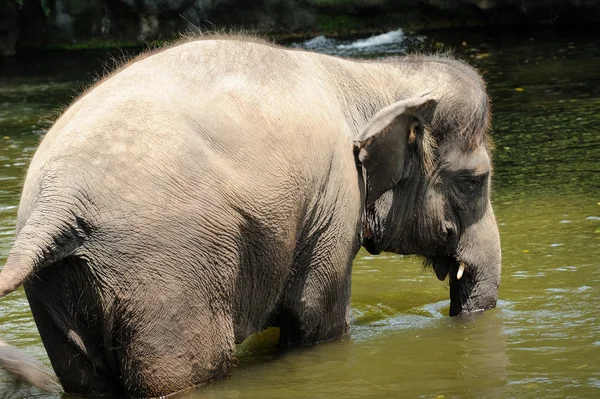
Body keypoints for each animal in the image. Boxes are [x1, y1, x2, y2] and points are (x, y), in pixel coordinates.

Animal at [0, 35, 500, 399]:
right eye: (474, 181)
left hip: (59, 288)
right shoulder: (335, 197)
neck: (376, 76)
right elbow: (315, 322)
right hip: (164, 272)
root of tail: (58, 199)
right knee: (189, 369)